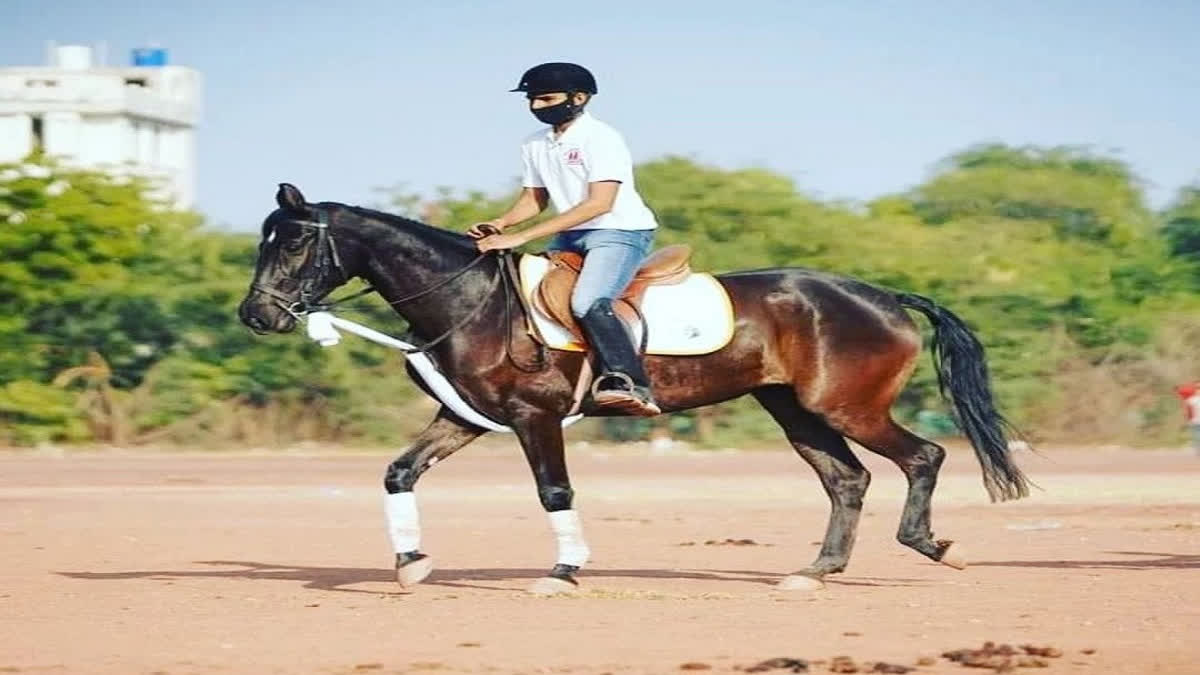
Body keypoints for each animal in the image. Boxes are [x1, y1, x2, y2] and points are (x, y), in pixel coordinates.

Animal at [238, 183, 1029, 594]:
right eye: (264, 239)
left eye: (296, 241)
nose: (257, 315)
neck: (471, 299)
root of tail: (885, 295)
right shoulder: (465, 417)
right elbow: (399, 471)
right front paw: (411, 564)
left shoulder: (534, 417)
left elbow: (554, 492)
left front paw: (563, 570)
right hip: (793, 408)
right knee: (847, 478)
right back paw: (815, 570)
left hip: (847, 405)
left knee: (921, 457)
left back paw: (931, 545)